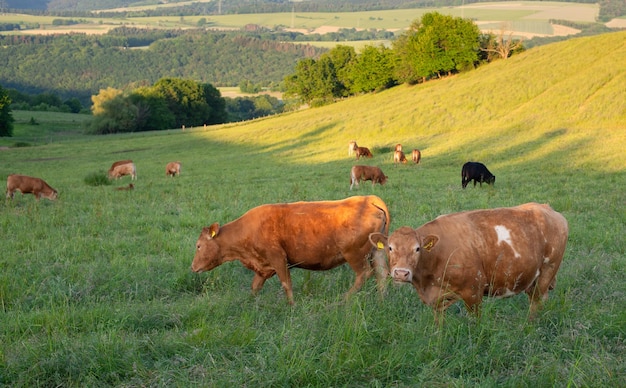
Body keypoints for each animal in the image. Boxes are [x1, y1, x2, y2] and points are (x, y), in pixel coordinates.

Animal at [189, 196, 390, 304]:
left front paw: (292, 306)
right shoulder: (263, 267)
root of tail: (368, 199)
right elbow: (255, 287)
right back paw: (381, 301)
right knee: (382, 274)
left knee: (364, 274)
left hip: (354, 254)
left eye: (198, 245)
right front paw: (248, 303)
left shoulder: (278, 258)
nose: (193, 267)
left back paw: (344, 300)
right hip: (376, 251)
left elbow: (286, 284)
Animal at [368, 203, 568, 322]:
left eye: (417, 249)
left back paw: (528, 326)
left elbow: (475, 323)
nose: (401, 273)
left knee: (536, 301)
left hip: (548, 270)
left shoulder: (473, 291)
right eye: (390, 248)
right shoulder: (436, 299)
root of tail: (546, 208)